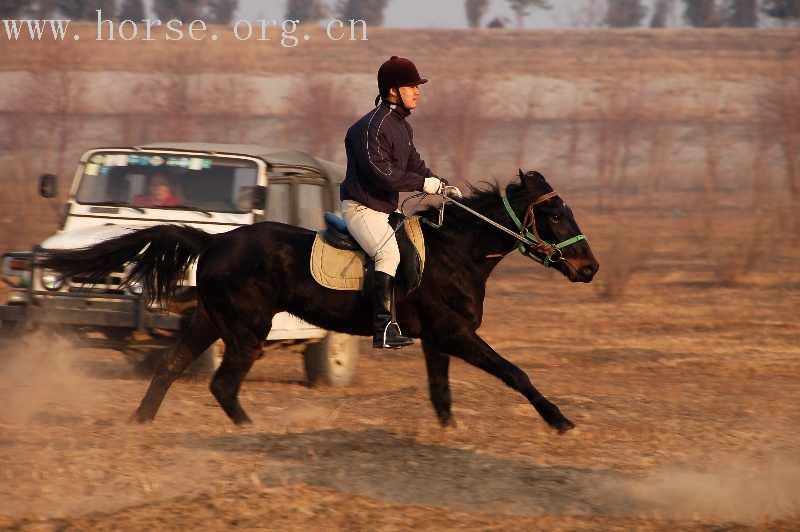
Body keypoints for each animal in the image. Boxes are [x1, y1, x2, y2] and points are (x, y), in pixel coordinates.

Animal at [40, 170, 596, 432]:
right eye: (555, 217)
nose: (588, 268)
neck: (456, 250)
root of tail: (214, 241)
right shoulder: (455, 334)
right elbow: (514, 372)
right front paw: (560, 421)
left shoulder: (438, 339)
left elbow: (441, 393)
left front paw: (450, 434)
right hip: (247, 331)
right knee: (222, 384)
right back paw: (251, 431)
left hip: (210, 322)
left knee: (170, 366)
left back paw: (140, 423)